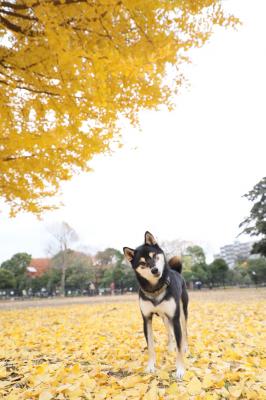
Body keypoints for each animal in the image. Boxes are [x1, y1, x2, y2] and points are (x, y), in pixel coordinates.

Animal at [123, 231, 188, 378]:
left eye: (154, 256)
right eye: (142, 263)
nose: (154, 270)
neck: (155, 289)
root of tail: (177, 271)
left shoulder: (175, 318)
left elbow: (179, 346)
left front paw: (180, 370)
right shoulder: (146, 319)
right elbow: (151, 347)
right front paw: (151, 366)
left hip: (182, 312)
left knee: (185, 332)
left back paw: (186, 347)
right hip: (165, 318)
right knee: (169, 333)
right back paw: (170, 347)